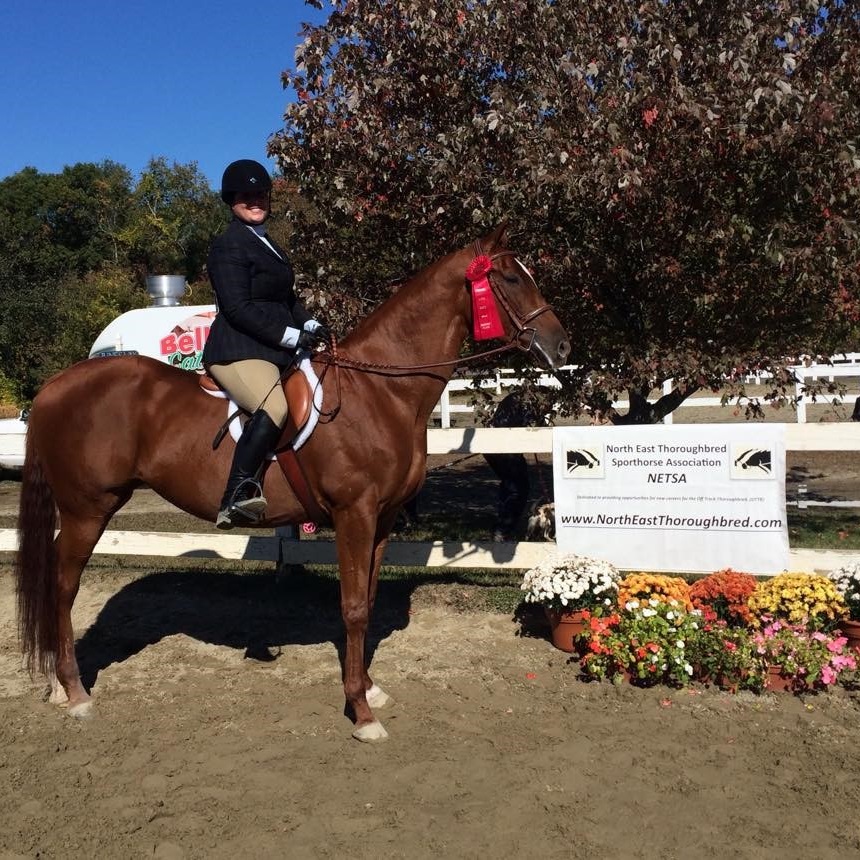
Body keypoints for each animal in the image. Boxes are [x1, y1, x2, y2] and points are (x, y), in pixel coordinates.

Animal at [13, 225, 572, 744]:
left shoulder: (384, 517)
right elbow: (351, 608)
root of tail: (55, 386)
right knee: (63, 587)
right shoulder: (354, 513)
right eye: (509, 278)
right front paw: (360, 713)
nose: (561, 345)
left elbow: (368, 601)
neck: (381, 392)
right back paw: (75, 693)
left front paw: (369, 688)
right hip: (88, 509)